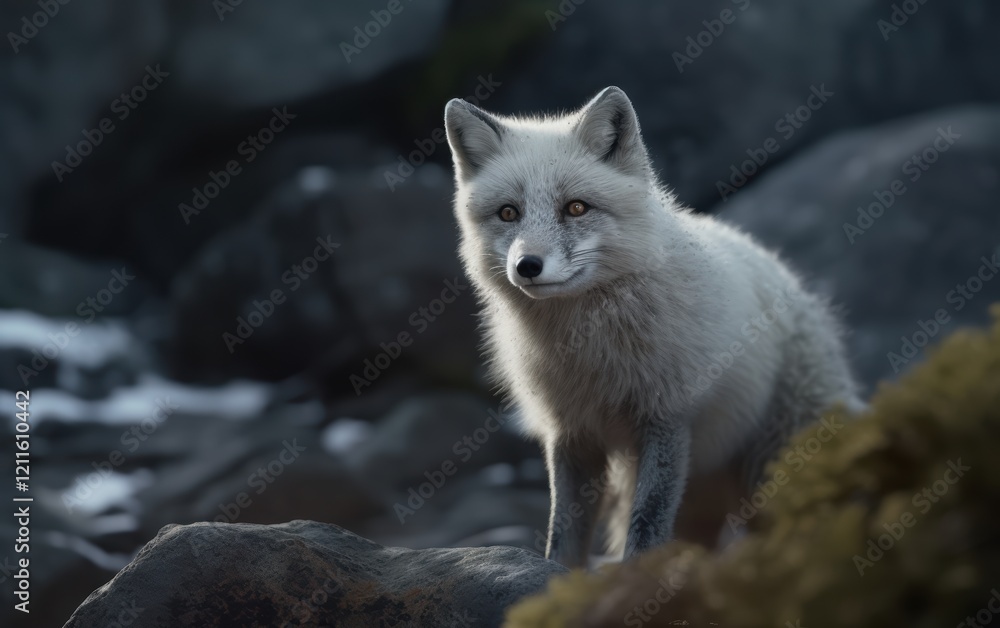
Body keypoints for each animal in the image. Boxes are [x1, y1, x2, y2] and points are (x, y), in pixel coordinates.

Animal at [443, 86, 865, 568]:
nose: (527, 266)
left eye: (575, 208)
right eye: (509, 213)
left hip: (773, 462)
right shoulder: (570, 432)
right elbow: (564, 530)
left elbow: (648, 523)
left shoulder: (667, 417)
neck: (586, 348)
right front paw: (556, 578)